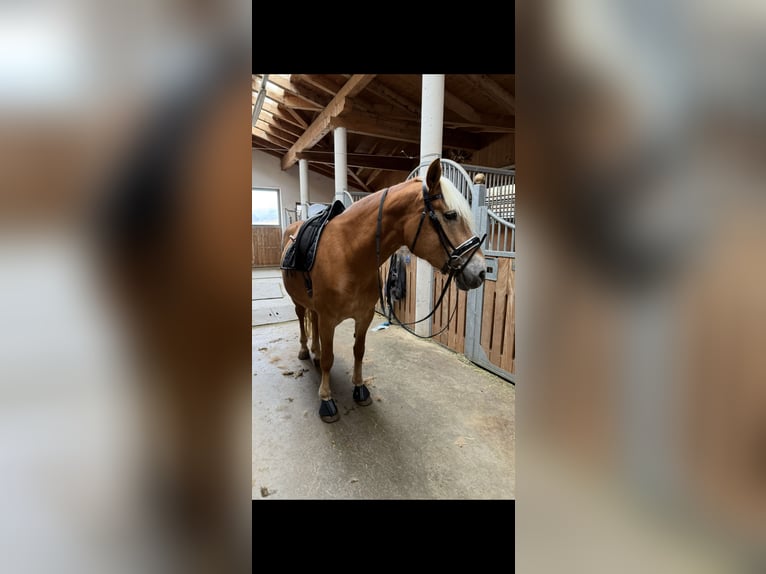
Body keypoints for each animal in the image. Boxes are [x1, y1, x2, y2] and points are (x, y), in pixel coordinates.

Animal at [280, 158, 487, 422]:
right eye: (451, 215)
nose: (481, 271)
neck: (348, 254)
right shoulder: (328, 319)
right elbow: (329, 359)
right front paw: (326, 400)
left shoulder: (364, 316)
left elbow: (358, 351)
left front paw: (359, 388)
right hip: (298, 302)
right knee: (302, 321)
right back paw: (306, 351)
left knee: (312, 324)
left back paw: (314, 352)